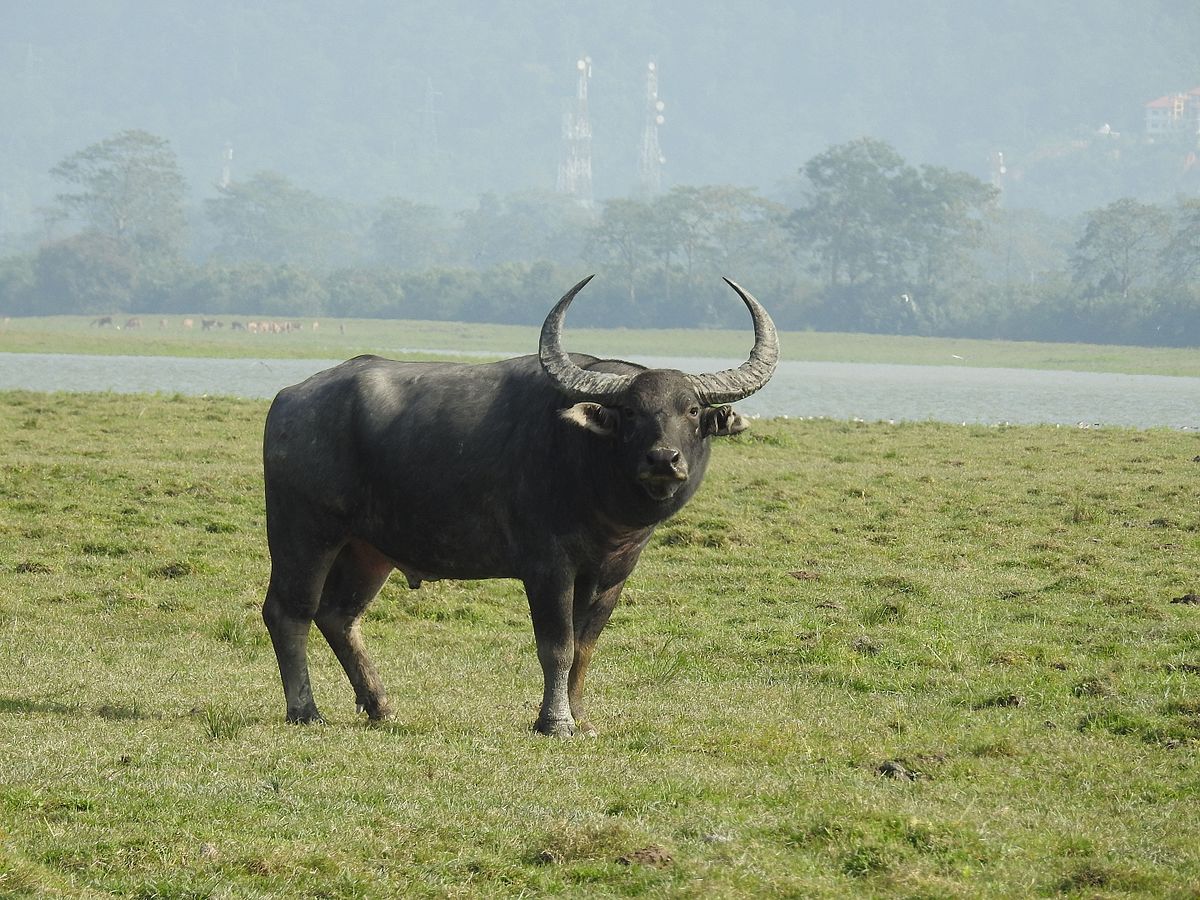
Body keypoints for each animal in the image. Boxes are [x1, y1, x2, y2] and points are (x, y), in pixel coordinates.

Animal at [262, 276, 778, 735]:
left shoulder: (613, 573)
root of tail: (288, 398)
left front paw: (581, 718)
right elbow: (557, 646)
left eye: (691, 410)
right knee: (289, 612)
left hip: (367, 550)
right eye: (631, 412)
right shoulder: (548, 567)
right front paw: (555, 722)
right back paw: (305, 711)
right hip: (303, 534)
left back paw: (381, 706)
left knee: (339, 616)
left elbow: (585, 647)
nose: (663, 459)